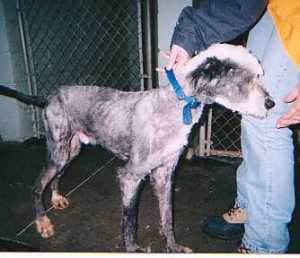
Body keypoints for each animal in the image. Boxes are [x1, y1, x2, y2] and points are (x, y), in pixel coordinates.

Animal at [0, 42, 274, 252]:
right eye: (247, 80)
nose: (271, 104)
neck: (176, 105)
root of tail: (50, 96)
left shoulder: (165, 173)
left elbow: (168, 217)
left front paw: (173, 247)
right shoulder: (131, 176)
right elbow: (130, 221)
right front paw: (133, 249)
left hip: (71, 150)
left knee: (56, 176)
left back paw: (56, 197)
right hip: (58, 151)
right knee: (37, 185)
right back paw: (42, 222)